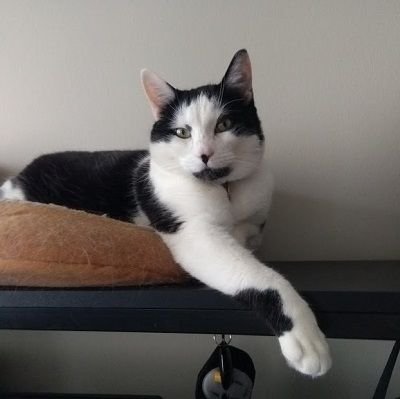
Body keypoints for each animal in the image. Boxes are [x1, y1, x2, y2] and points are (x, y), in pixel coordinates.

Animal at [0, 50, 332, 378]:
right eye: (182, 132)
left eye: (224, 124)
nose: (204, 154)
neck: (223, 190)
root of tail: (16, 178)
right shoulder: (194, 235)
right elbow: (259, 274)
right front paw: (306, 338)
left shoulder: (253, 222)